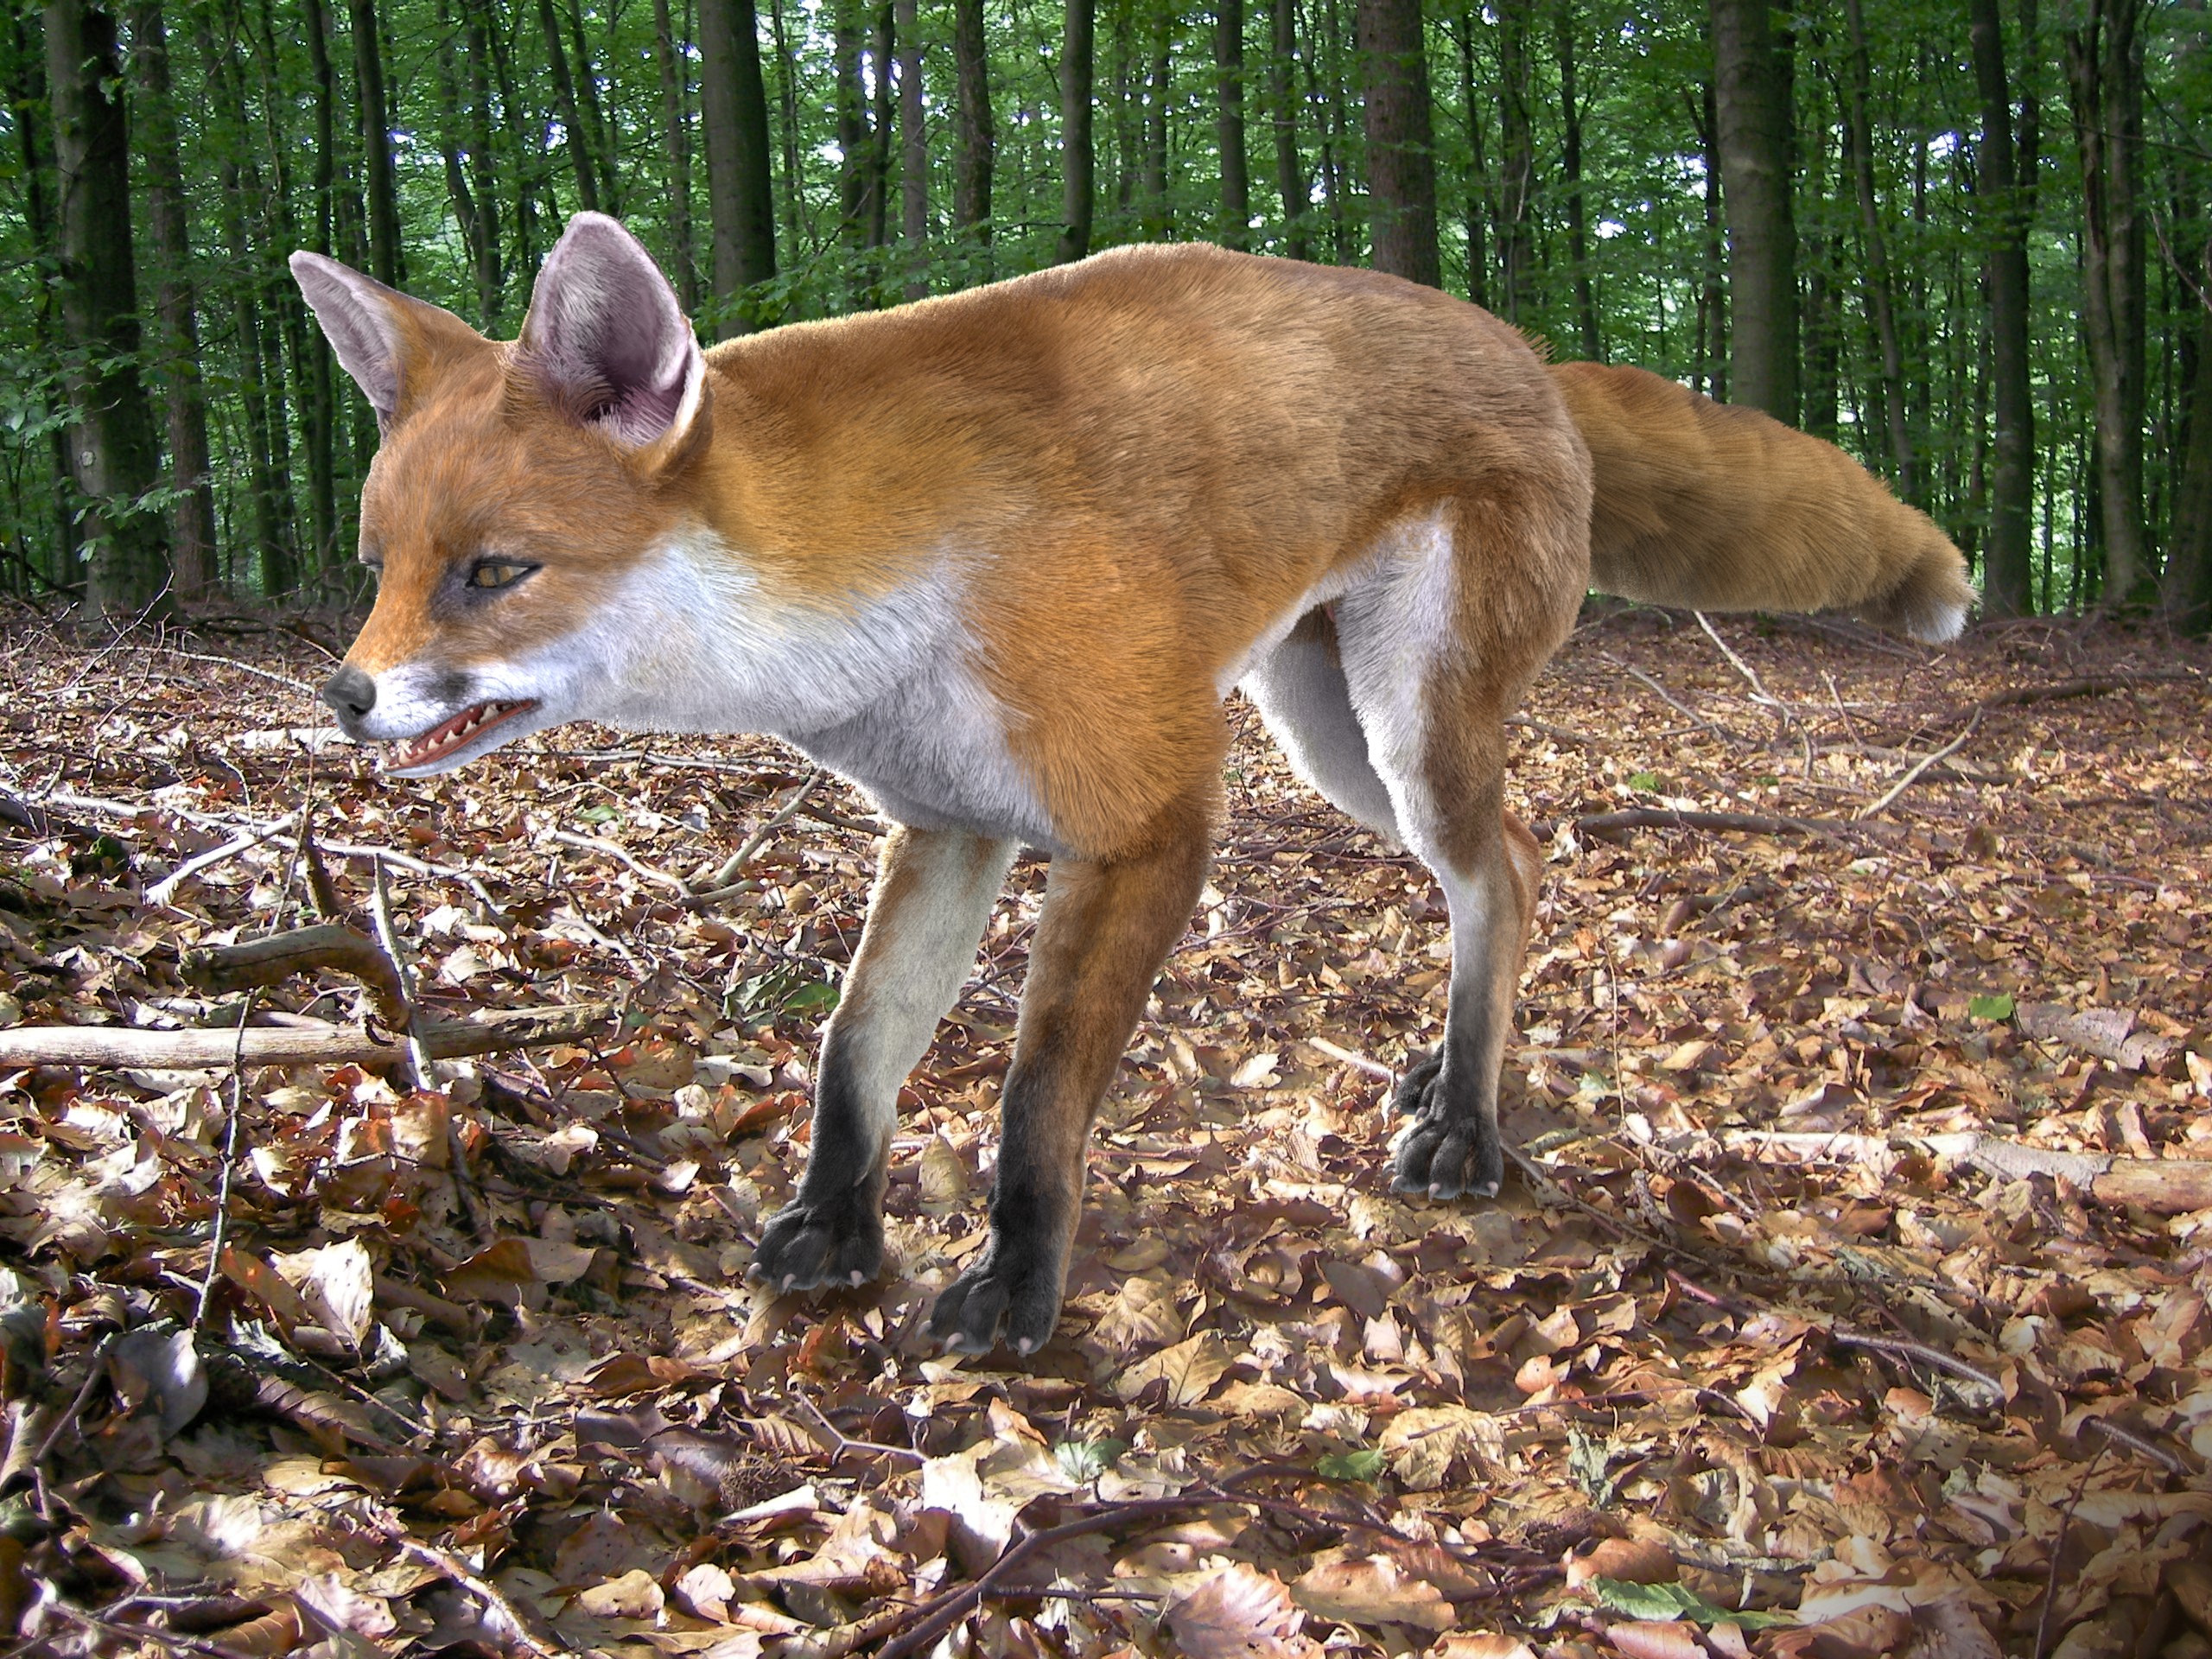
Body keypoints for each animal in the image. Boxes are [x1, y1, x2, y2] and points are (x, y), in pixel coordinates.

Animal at [292, 212, 1973, 1356]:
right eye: (378, 568)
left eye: (495, 573)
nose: (346, 697)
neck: (882, 594)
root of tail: (1525, 354)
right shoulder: (951, 825)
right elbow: (854, 1056)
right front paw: (837, 1228)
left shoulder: (1154, 819)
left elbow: (1038, 1097)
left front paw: (1016, 1290)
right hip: (1332, 739)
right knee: (1519, 867)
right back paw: (1452, 1077)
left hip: (1402, 731)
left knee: (1503, 868)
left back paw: (1469, 1133)